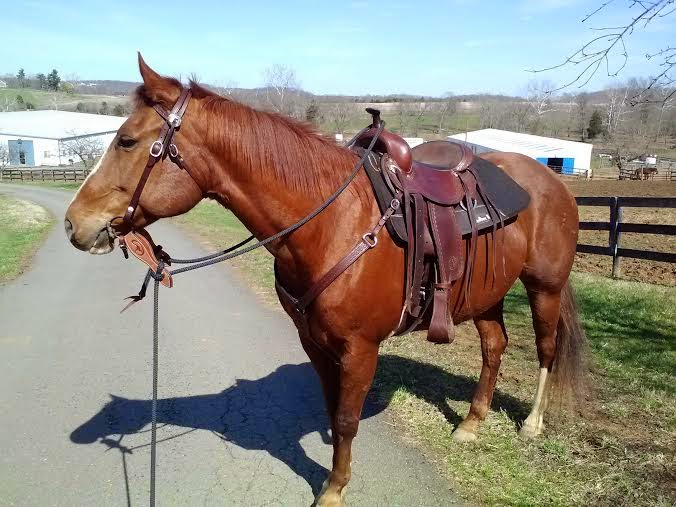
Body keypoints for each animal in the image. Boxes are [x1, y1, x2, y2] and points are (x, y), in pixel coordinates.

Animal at [66, 55, 588, 507]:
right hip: (485, 295)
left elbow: (347, 418)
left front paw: (334, 489)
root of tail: (549, 179)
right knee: (495, 347)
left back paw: (532, 423)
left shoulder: (360, 348)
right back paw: (471, 424)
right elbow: (332, 411)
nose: (74, 223)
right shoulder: (314, 342)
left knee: (545, 348)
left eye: (127, 141)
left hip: (544, 286)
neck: (329, 222)